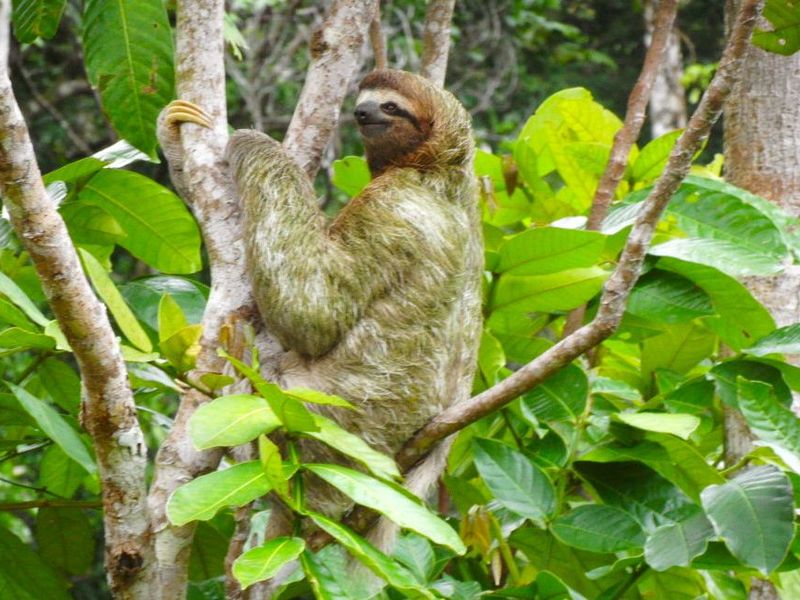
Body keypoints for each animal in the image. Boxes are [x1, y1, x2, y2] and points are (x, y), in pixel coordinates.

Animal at [158, 69, 482, 580]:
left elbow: (312, 311)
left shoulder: (389, 210)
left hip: (319, 427)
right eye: (363, 102)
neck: (434, 170)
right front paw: (173, 133)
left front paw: (255, 141)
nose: (361, 113)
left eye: (390, 106)